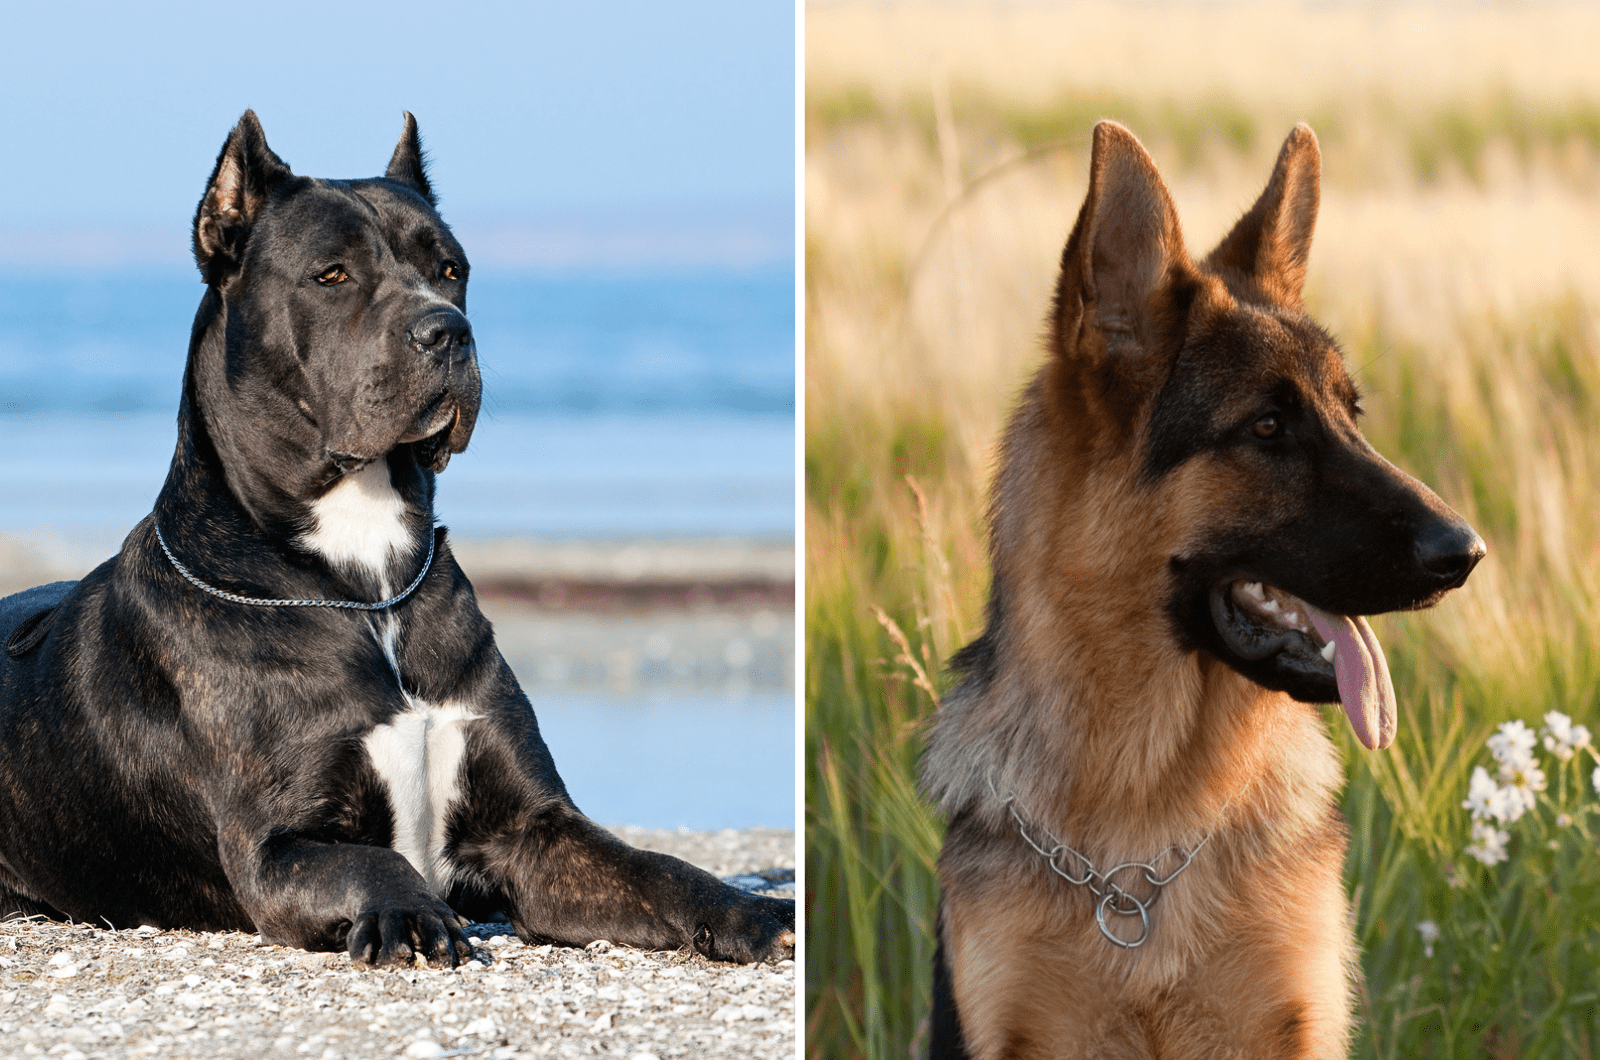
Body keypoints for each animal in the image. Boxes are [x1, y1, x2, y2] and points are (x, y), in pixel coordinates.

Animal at [0, 109, 796, 973]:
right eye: (332, 275)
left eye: (450, 269)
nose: (448, 331)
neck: (366, 580)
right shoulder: (276, 848)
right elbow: (370, 860)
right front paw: (411, 913)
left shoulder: (535, 829)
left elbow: (657, 868)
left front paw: (755, 909)